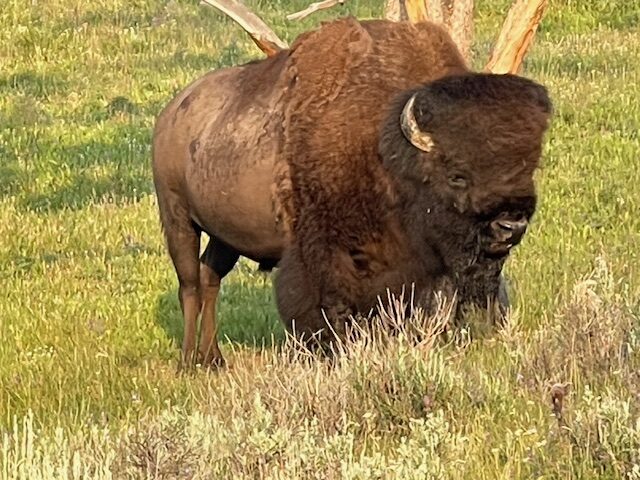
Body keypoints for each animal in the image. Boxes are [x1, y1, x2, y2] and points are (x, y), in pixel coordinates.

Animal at [152, 17, 552, 366]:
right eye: (457, 176)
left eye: (528, 169)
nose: (510, 226)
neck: (384, 151)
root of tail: (170, 113)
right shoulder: (321, 256)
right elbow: (326, 310)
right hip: (178, 218)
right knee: (190, 284)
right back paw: (189, 362)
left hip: (226, 237)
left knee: (210, 277)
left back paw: (214, 359)